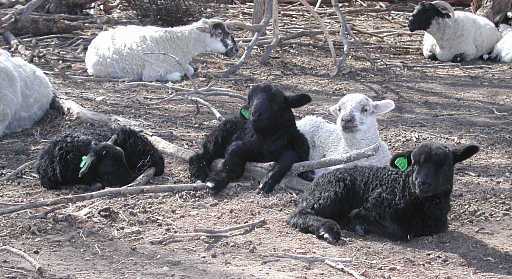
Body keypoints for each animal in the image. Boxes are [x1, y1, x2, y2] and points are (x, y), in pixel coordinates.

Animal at [87, 17, 239, 82]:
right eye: (219, 33)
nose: (236, 50)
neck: (179, 42)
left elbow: (190, 70)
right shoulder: (151, 74)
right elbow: (176, 75)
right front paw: (177, 75)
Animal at [288, 141, 480, 244]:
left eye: (444, 164)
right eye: (414, 163)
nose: (421, 182)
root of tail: (316, 181)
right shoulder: (374, 205)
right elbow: (399, 232)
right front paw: (357, 222)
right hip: (332, 191)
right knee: (299, 214)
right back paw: (328, 229)